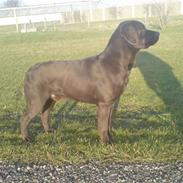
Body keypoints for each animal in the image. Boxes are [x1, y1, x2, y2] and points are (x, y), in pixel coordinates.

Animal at [21, 20, 159, 143]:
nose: (158, 32)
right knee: (24, 118)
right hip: (36, 100)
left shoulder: (111, 103)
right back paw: (26, 138)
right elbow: (103, 126)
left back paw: (48, 131)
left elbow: (108, 124)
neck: (115, 62)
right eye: (142, 29)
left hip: (51, 99)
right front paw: (106, 142)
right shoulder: (104, 104)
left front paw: (110, 138)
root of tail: (29, 70)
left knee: (44, 114)